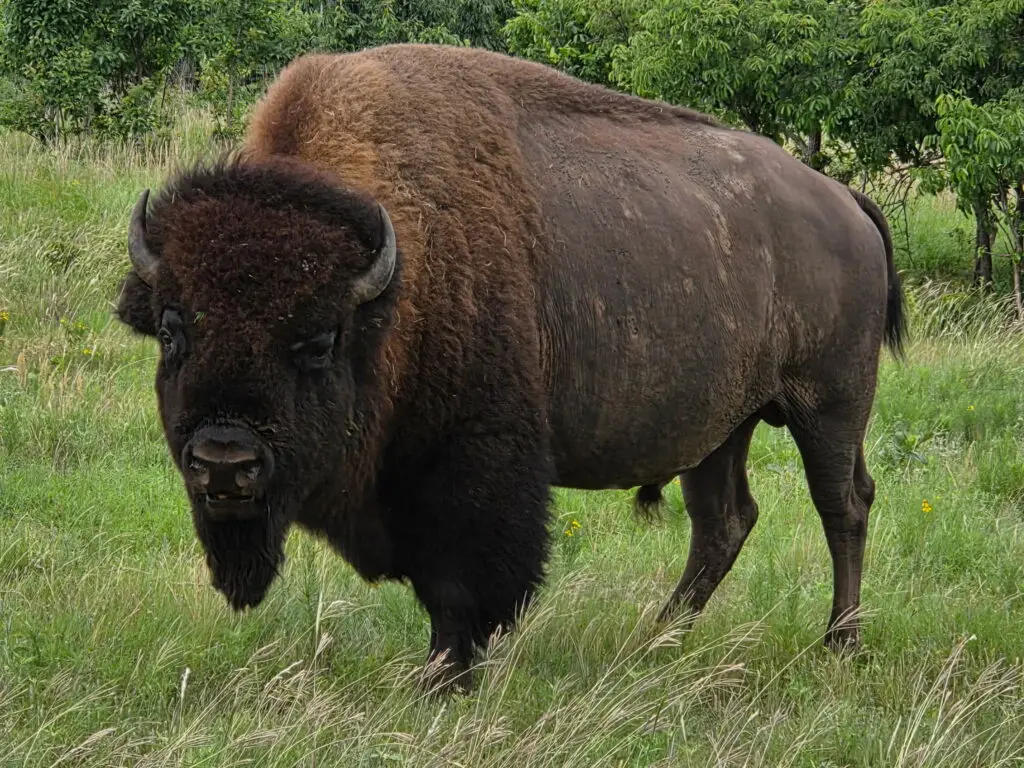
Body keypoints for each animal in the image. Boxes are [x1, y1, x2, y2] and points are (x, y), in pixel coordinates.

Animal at [116, 43, 905, 692]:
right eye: (173, 329)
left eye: (317, 340)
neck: (398, 280)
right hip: (722, 427)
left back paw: (838, 644)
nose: (224, 461)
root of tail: (845, 201)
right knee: (724, 522)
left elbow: (463, 585)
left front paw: (444, 680)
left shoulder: (476, 469)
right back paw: (655, 643)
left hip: (829, 405)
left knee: (843, 505)